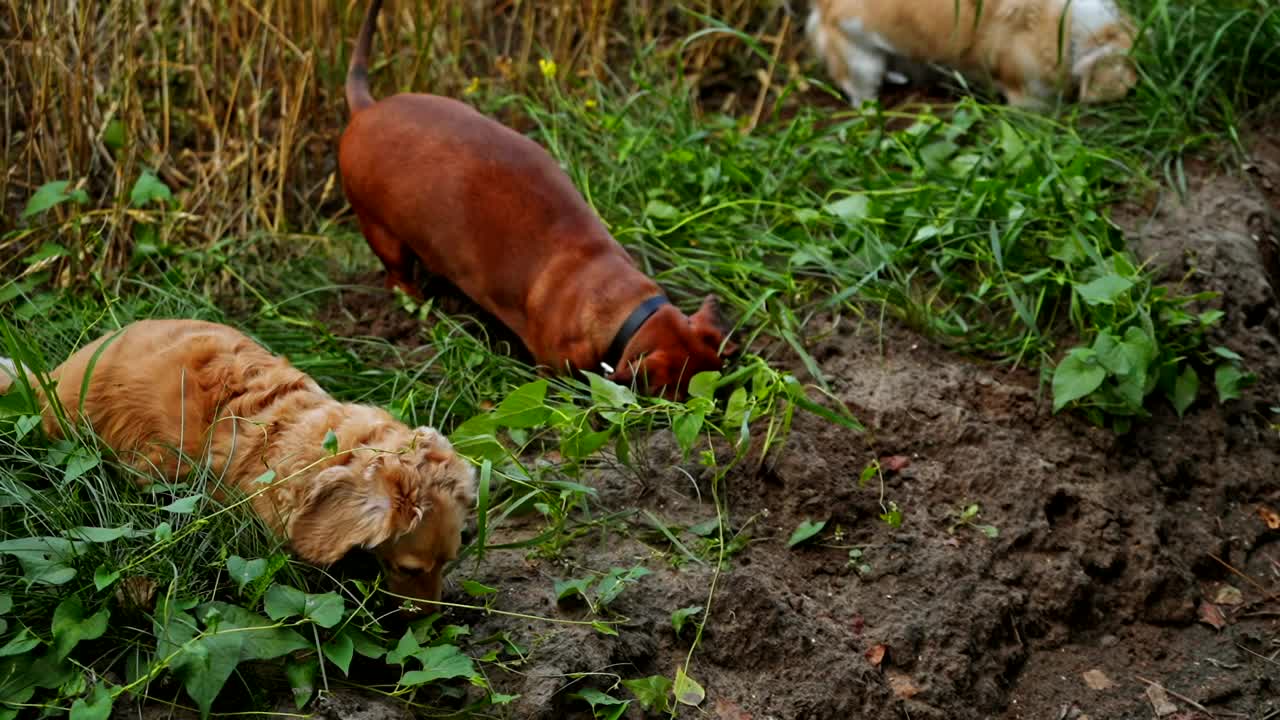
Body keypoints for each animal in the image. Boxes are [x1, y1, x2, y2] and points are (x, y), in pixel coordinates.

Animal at [335, 0, 737, 397]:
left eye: (721, 382)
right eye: (680, 397)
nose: (716, 408)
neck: (612, 295)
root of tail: (366, 107)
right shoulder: (553, 367)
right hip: (380, 232)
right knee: (398, 279)